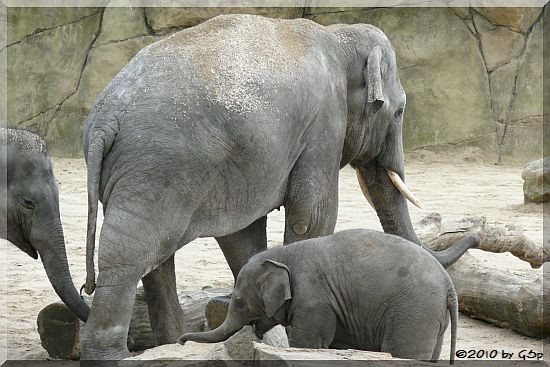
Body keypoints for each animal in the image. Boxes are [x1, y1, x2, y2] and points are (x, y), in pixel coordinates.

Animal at [179, 231, 480, 364]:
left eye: (240, 302)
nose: (181, 342)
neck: (285, 252)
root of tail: (449, 285)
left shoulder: (313, 299)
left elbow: (307, 344)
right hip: (432, 316)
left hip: (413, 311)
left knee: (405, 353)